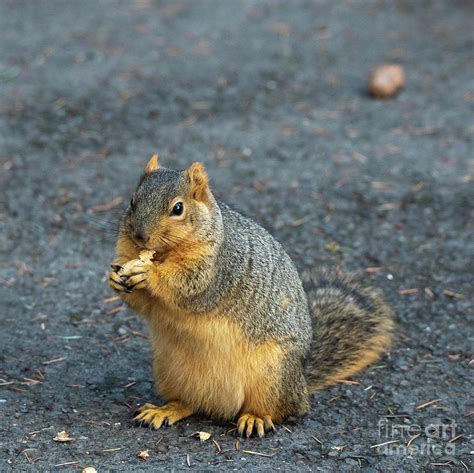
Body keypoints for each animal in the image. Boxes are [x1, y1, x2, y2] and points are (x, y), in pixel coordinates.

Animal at [107, 154, 392, 436]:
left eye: (178, 208)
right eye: (132, 201)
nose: (140, 236)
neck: (163, 254)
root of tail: (301, 381)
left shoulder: (219, 269)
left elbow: (188, 286)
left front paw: (148, 274)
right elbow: (144, 304)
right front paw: (115, 277)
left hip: (272, 374)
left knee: (281, 409)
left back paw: (255, 418)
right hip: (169, 370)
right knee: (190, 403)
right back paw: (165, 410)